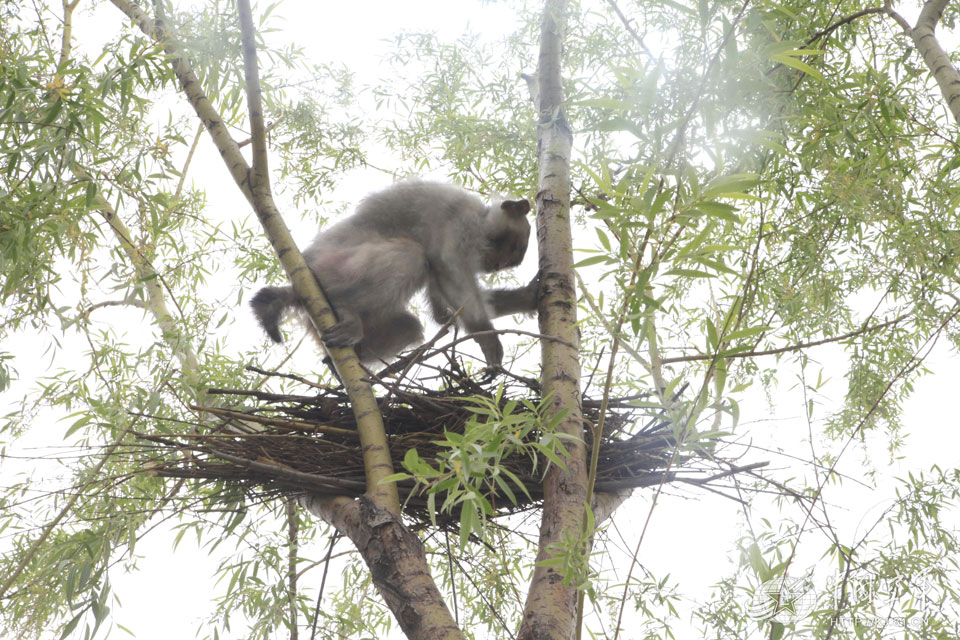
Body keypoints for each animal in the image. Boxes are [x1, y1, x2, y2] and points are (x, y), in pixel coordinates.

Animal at [251, 182, 540, 368]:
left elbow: (443, 310)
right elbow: (447, 266)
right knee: (411, 255)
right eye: (511, 249)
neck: (481, 219)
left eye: (508, 262)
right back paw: (344, 309)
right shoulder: (463, 225)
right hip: (332, 268)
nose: (497, 264)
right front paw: (486, 336)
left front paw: (527, 298)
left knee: (409, 326)